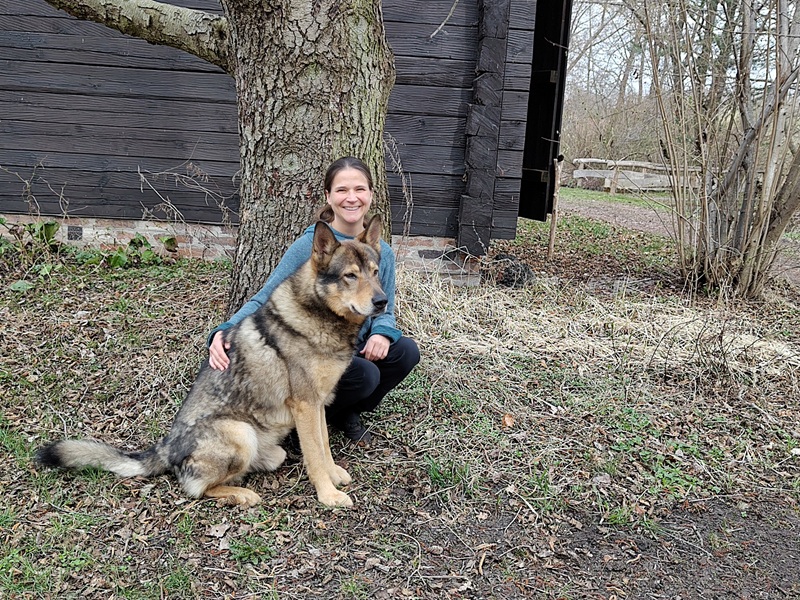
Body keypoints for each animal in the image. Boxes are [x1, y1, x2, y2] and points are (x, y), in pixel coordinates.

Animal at [35, 216, 387, 508]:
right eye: (350, 276)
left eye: (374, 272)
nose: (382, 301)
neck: (319, 315)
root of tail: (166, 447)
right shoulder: (305, 405)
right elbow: (315, 455)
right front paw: (328, 494)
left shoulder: (318, 404)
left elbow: (324, 445)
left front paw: (334, 474)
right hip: (239, 433)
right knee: (196, 489)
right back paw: (241, 494)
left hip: (268, 448)